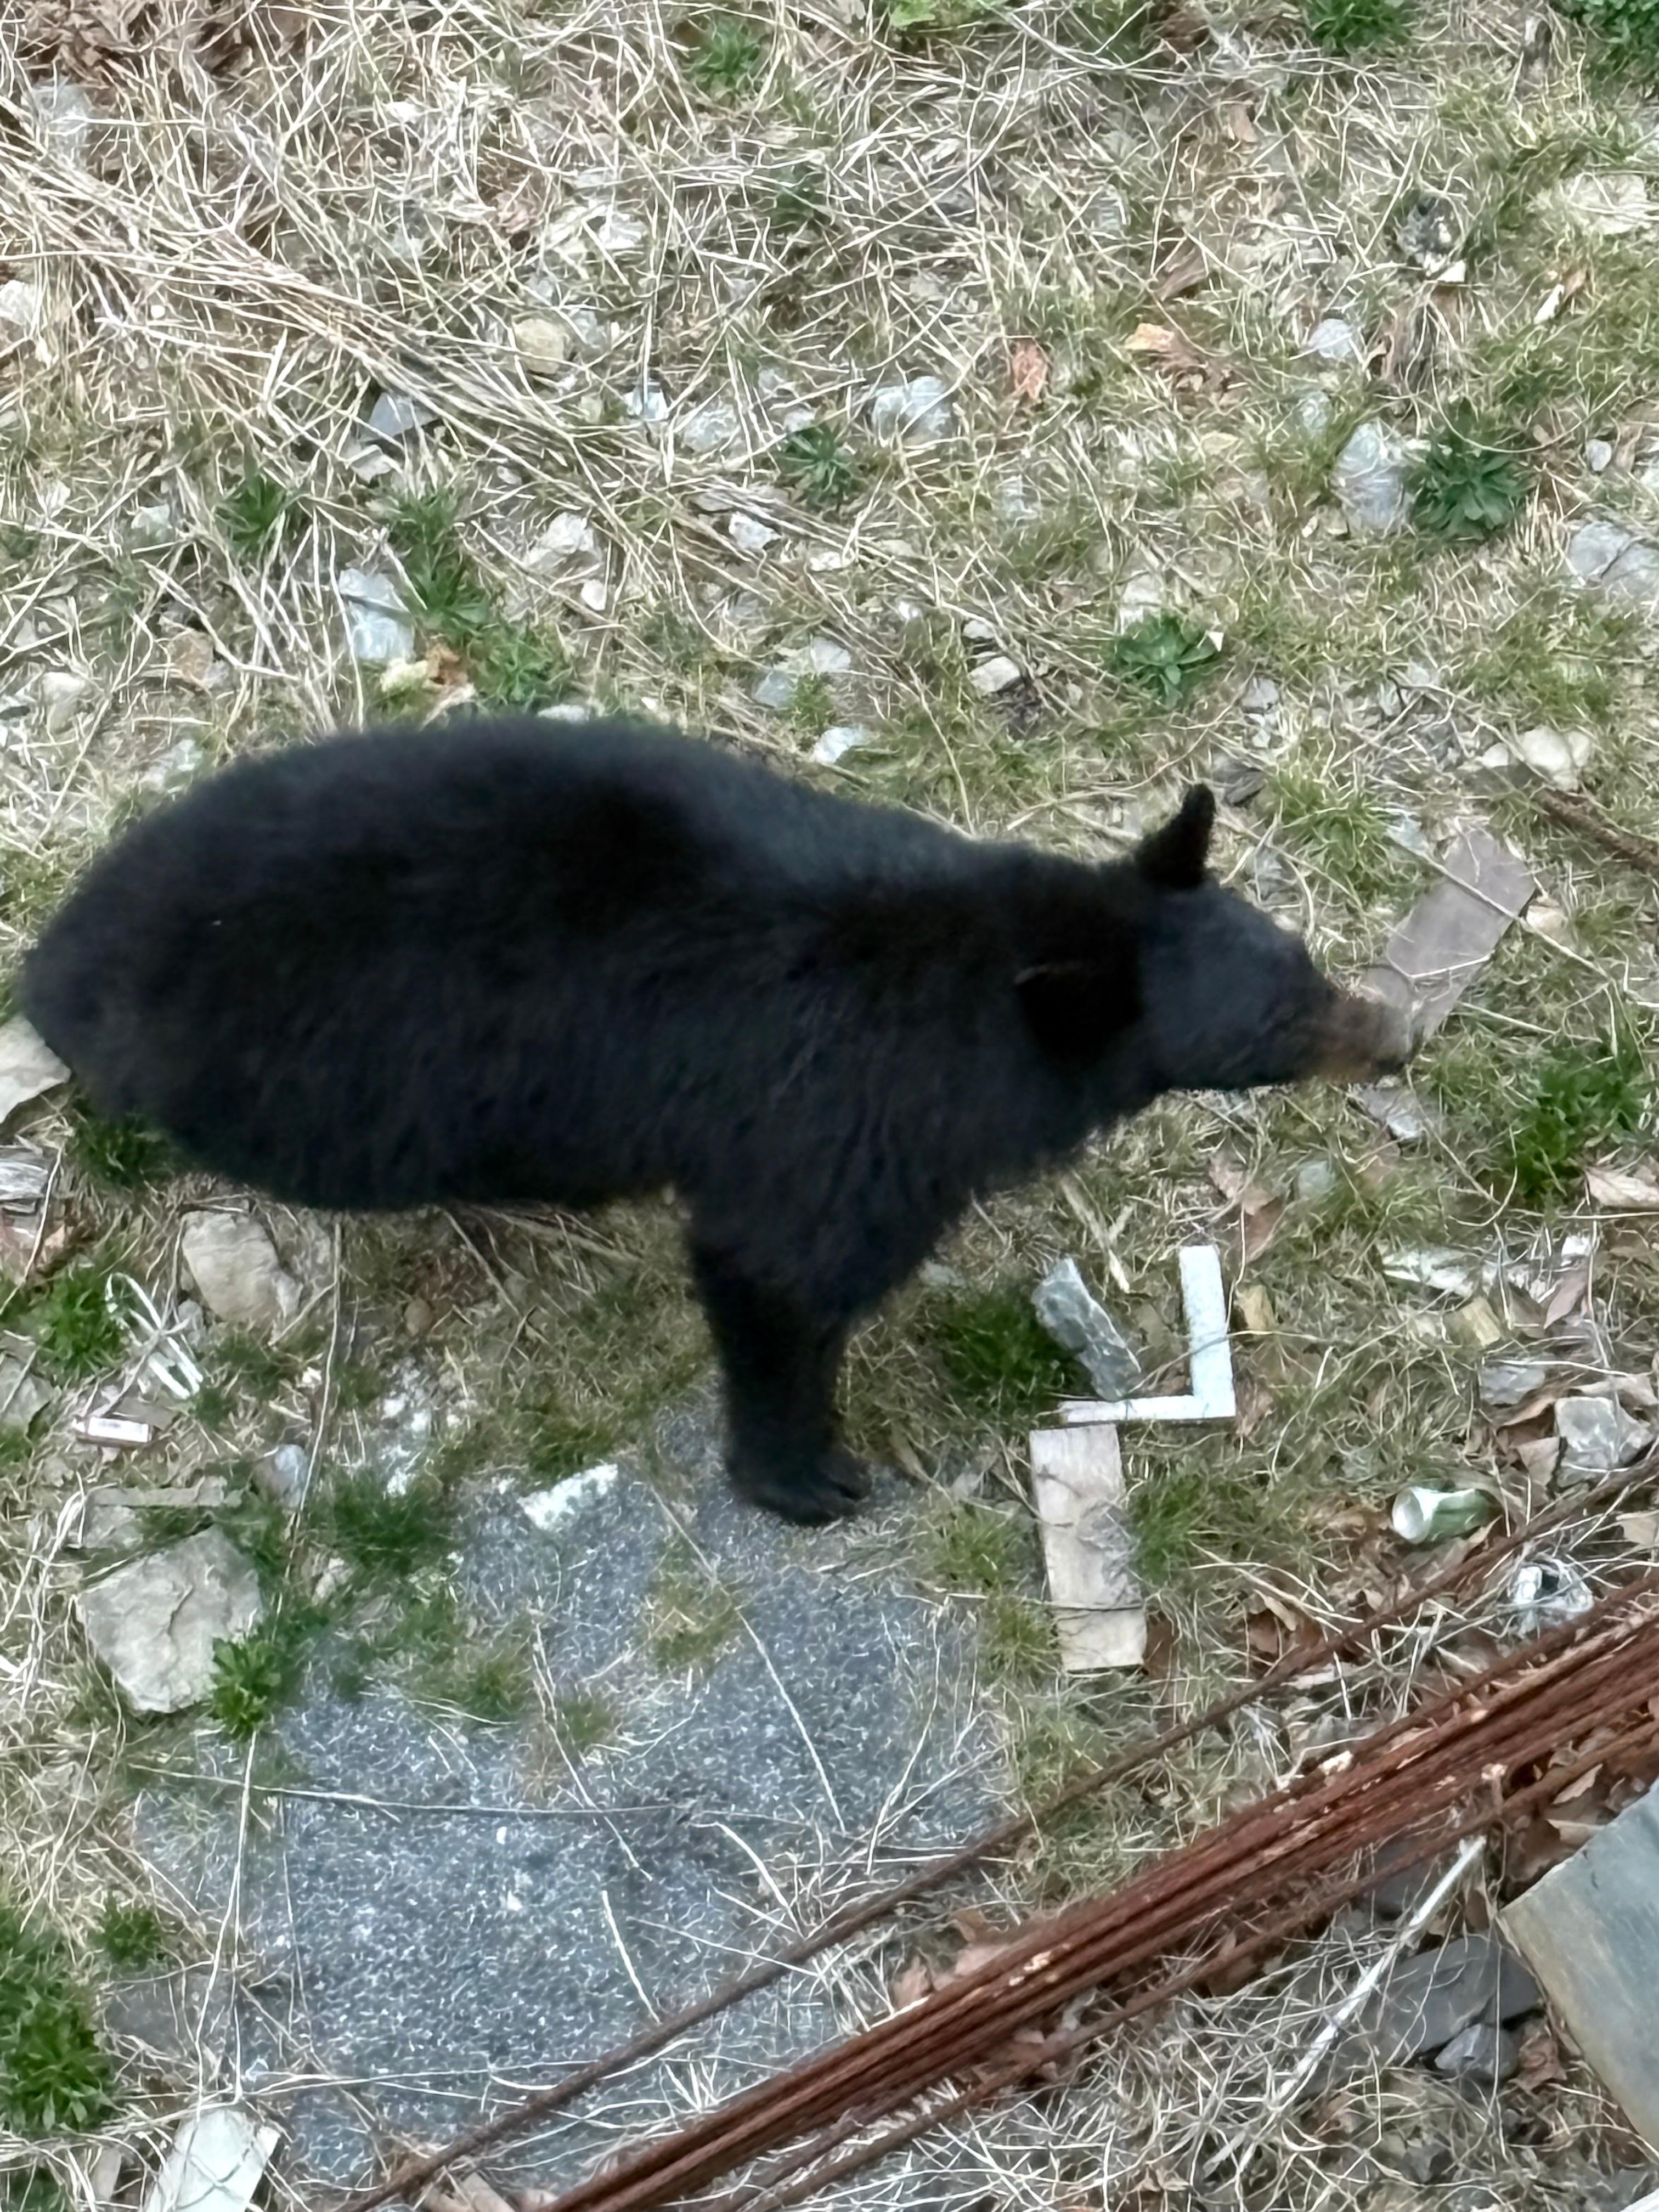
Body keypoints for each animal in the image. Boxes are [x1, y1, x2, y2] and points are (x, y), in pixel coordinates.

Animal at [22, 716, 1408, 1522]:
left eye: (1300, 960)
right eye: (1275, 1033)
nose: (1397, 1030)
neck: (990, 973)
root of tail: (66, 962)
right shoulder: (847, 1124)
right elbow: (776, 1279)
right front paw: (808, 1474)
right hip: (326, 1099)